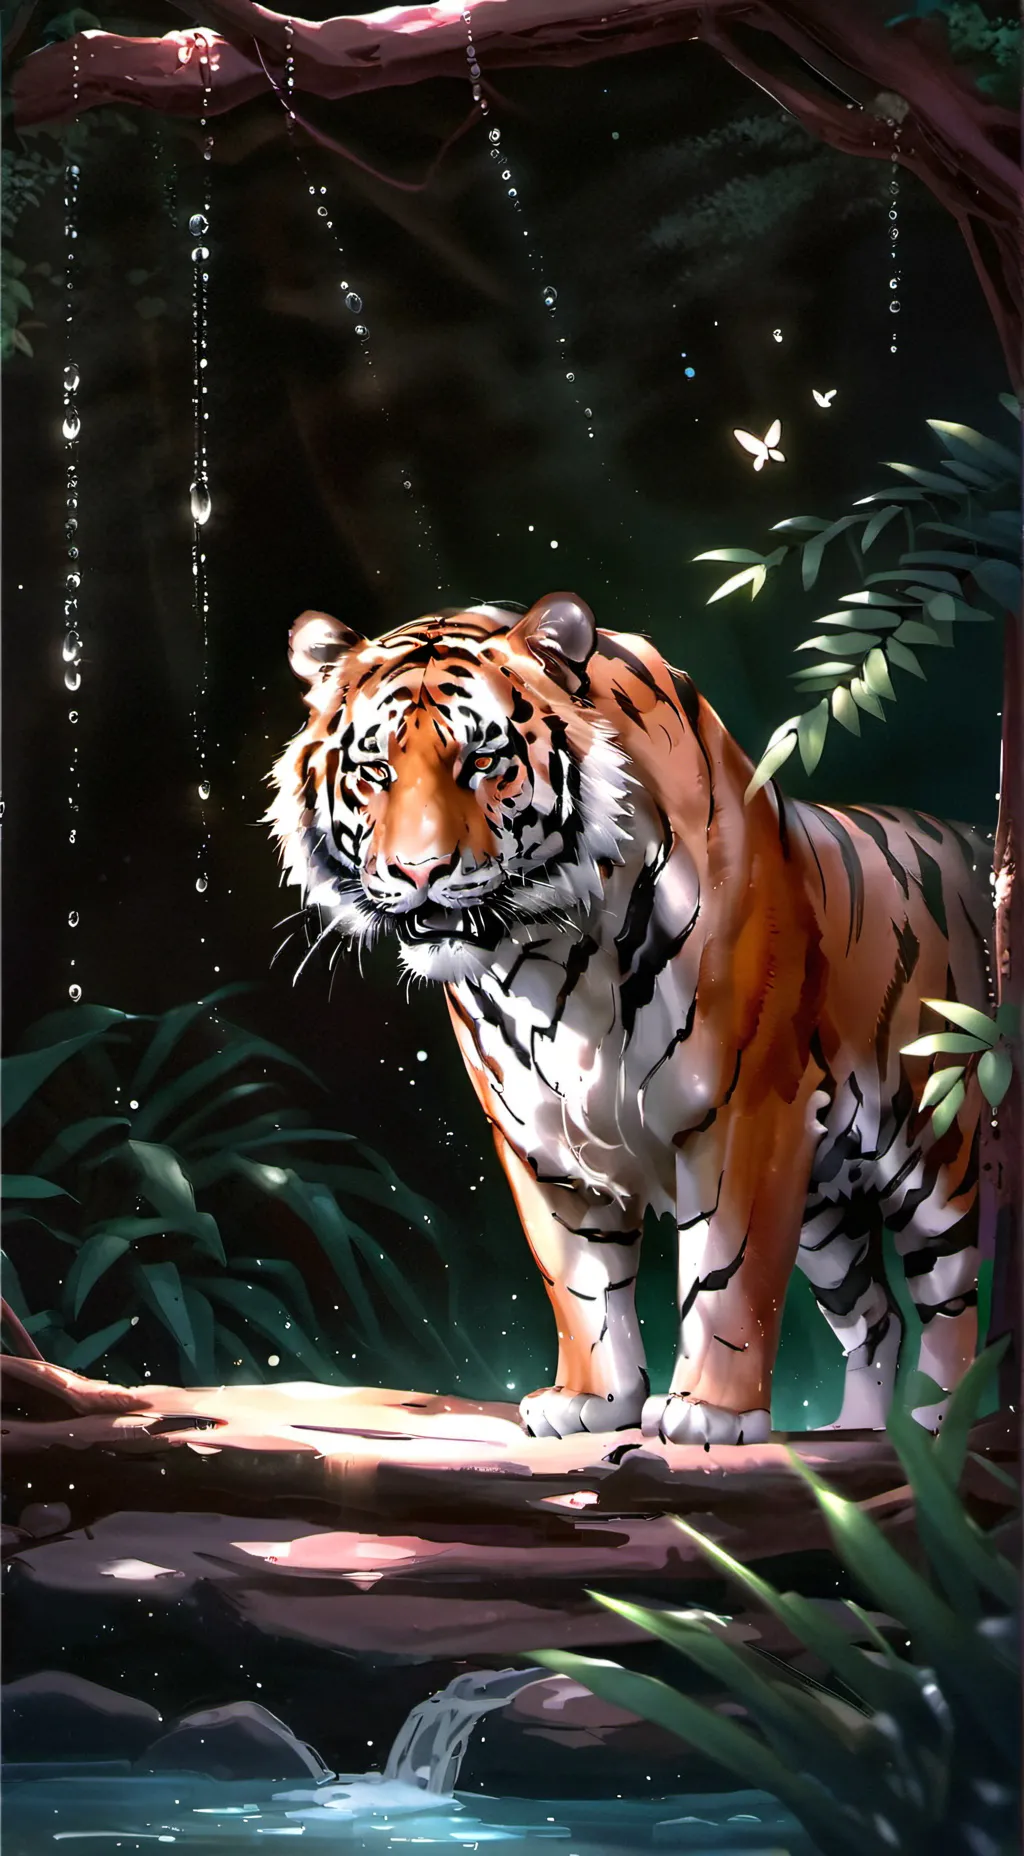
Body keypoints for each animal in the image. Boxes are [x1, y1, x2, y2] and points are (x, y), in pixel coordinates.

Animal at [266, 592, 990, 1445]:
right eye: (375, 770)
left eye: (483, 762)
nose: (419, 872)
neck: (546, 958)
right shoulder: (539, 1140)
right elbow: (578, 1282)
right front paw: (591, 1401)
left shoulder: (745, 1114)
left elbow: (728, 1277)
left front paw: (709, 1413)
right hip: (826, 1210)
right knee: (877, 1315)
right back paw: (862, 1433)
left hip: (937, 1158)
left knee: (952, 1308)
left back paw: (938, 1428)